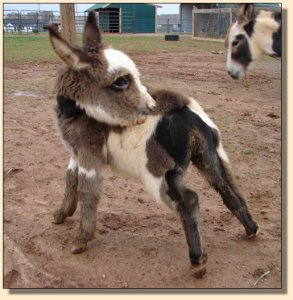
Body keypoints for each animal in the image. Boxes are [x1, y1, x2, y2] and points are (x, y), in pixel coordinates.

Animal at [49, 12, 258, 278]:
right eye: (121, 81)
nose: (150, 106)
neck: (78, 110)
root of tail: (189, 117)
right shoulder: (76, 154)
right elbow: (70, 180)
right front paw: (60, 214)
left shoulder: (89, 156)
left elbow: (87, 191)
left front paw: (81, 240)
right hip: (209, 158)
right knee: (228, 190)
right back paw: (251, 230)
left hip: (158, 174)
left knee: (189, 200)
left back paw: (198, 262)